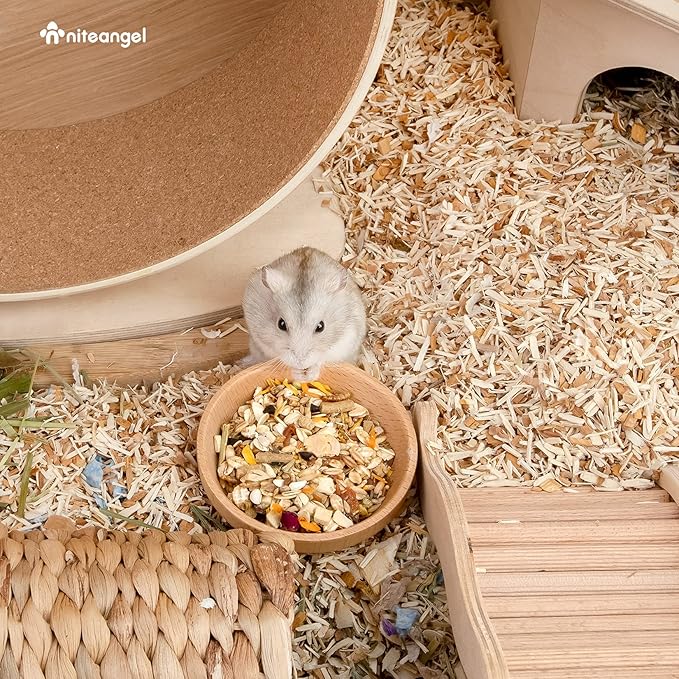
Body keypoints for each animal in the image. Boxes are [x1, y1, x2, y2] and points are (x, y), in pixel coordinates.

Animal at [241, 247, 367, 381]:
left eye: (321, 327)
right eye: (281, 324)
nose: (300, 363)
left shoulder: (346, 340)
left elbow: (322, 359)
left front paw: (309, 375)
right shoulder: (262, 342)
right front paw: (299, 374)